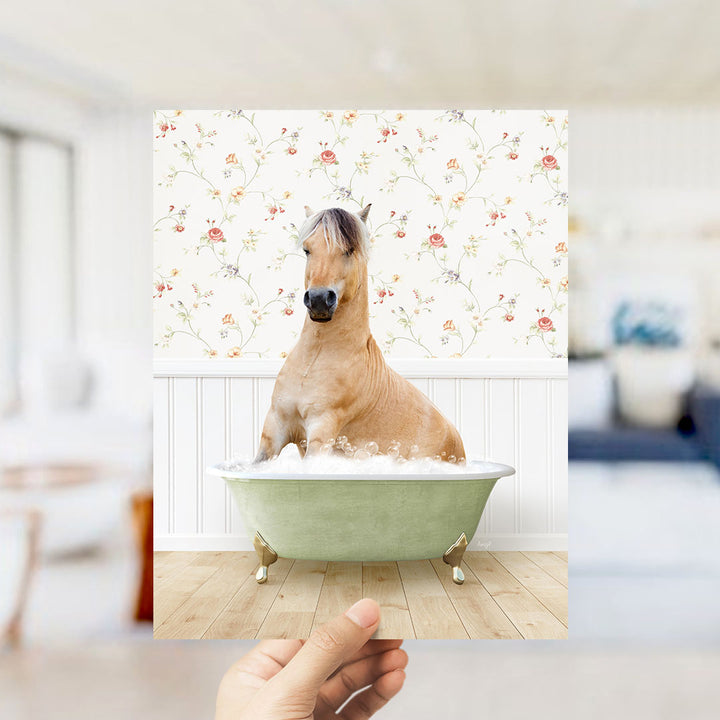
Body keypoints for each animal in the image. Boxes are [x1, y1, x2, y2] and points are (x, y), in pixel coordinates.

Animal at [254, 204, 465, 463]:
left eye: (349, 250)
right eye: (307, 249)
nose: (318, 300)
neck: (314, 360)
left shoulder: (321, 431)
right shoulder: (275, 428)